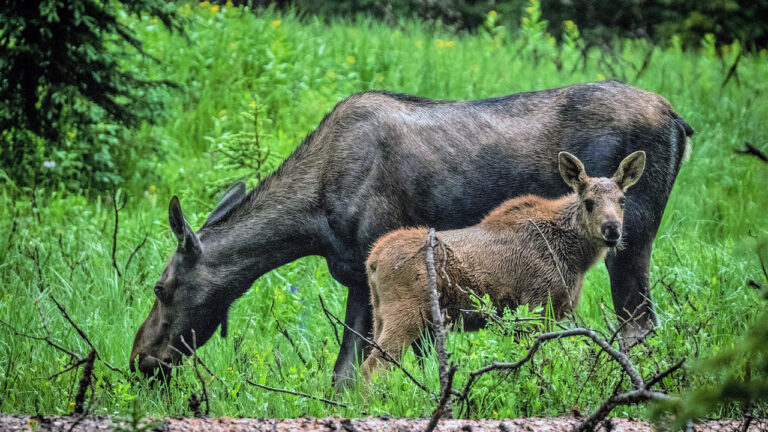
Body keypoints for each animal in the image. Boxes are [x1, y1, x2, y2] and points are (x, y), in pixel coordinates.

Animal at [362, 151, 646, 377]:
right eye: (588, 202)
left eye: (622, 200)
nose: (612, 229)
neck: (576, 257)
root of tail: (372, 261)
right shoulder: (536, 303)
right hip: (406, 314)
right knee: (373, 366)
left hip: (382, 314)